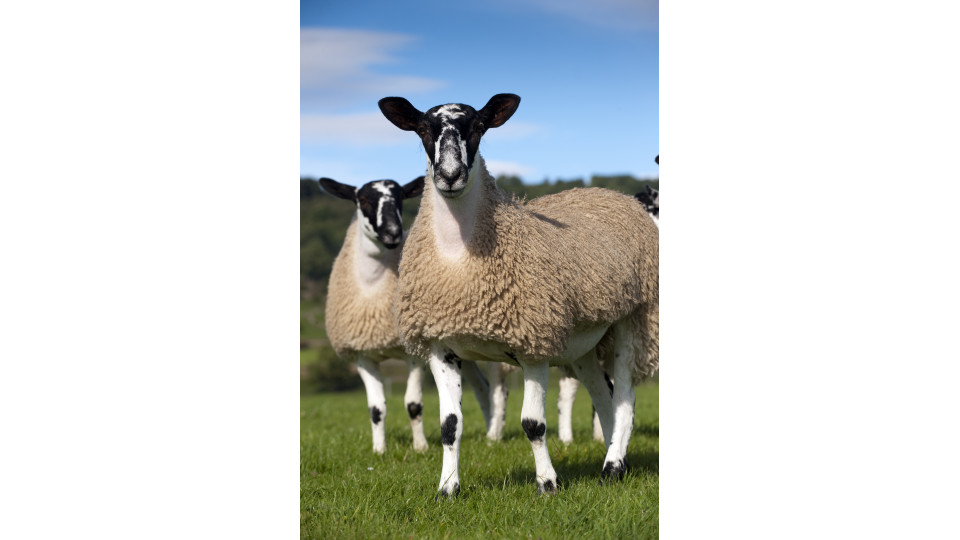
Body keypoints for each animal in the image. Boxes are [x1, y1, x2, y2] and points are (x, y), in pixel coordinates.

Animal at [320, 176, 494, 454]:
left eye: (401, 197)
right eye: (364, 200)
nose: (393, 233)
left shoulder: (414, 353)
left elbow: (413, 404)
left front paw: (420, 447)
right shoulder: (362, 357)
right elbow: (376, 408)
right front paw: (379, 450)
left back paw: (494, 434)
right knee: (481, 385)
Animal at [378, 93, 659, 496]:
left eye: (479, 127)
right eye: (421, 129)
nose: (450, 176)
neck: (460, 261)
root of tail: (613, 195)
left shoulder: (533, 343)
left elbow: (533, 424)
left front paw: (548, 483)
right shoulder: (440, 345)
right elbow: (449, 426)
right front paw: (447, 489)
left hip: (633, 318)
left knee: (624, 397)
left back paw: (613, 465)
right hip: (583, 343)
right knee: (603, 396)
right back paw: (613, 459)